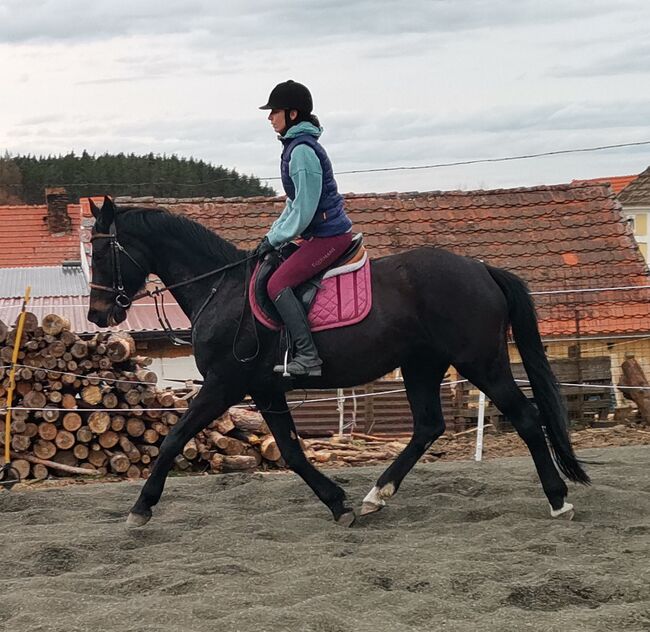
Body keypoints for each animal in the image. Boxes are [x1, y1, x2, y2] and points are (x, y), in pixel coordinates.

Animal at [86, 198, 588, 528]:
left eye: (102, 251)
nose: (97, 315)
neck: (220, 287)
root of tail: (481, 268)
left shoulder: (223, 385)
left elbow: (173, 439)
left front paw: (141, 508)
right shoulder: (265, 389)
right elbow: (290, 451)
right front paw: (338, 503)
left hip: (479, 362)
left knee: (525, 417)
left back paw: (558, 499)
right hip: (421, 366)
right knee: (428, 427)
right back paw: (376, 496)